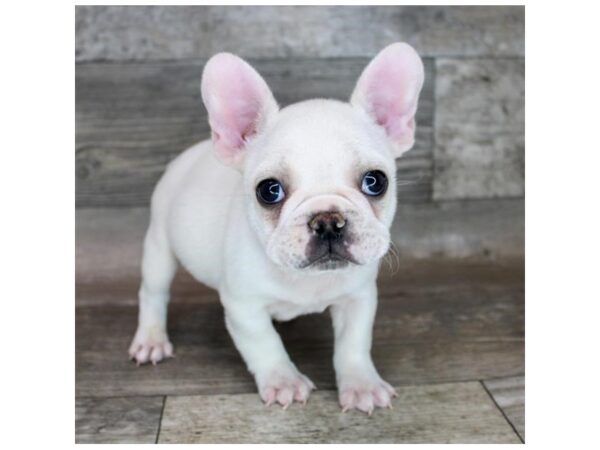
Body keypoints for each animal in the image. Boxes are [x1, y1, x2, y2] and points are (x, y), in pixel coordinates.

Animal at [129, 43, 424, 414]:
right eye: (269, 190)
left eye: (375, 182)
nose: (327, 221)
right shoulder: (244, 307)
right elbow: (265, 344)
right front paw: (284, 381)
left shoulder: (358, 299)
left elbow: (353, 344)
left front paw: (362, 385)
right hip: (159, 247)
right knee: (153, 292)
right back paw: (151, 339)